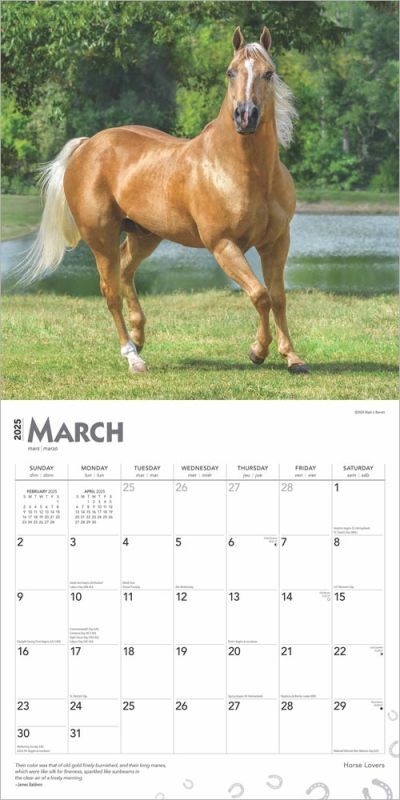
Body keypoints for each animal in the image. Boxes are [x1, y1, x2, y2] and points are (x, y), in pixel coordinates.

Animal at [22, 25, 309, 375]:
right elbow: (260, 295)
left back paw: (138, 336)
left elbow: (278, 296)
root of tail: (88, 145)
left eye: (268, 73)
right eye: (230, 72)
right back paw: (133, 356)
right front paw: (258, 351)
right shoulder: (223, 245)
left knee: (126, 271)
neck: (245, 172)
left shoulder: (276, 241)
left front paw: (292, 357)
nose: (245, 116)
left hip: (144, 235)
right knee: (111, 292)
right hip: (100, 237)